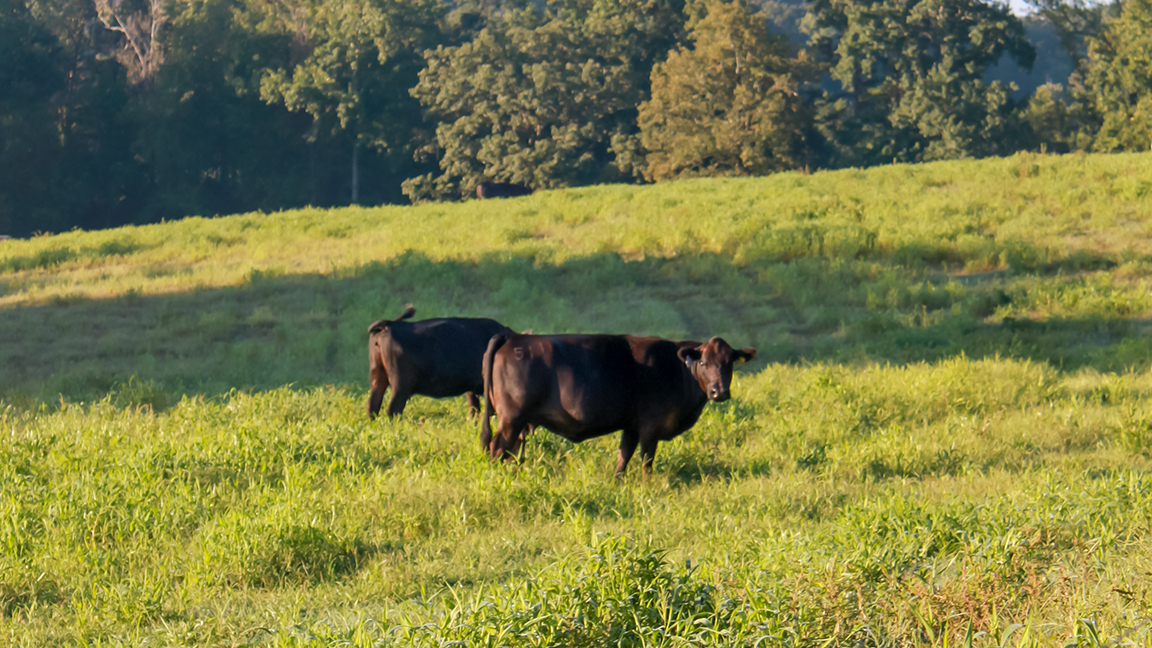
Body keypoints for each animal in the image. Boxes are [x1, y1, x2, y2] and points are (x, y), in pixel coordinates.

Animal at [368, 305, 518, 419]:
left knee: (372, 405)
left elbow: (474, 409)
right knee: (393, 408)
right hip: (400, 386)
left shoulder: (471, 389)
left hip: (378, 377)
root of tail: (390, 324)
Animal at [480, 333, 756, 476]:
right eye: (704, 363)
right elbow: (646, 459)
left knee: (510, 451)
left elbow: (623, 456)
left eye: (729, 363)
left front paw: (618, 481)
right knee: (497, 447)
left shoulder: (631, 426)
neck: (677, 367)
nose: (719, 391)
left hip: (519, 424)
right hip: (511, 420)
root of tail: (514, 337)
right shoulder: (650, 428)